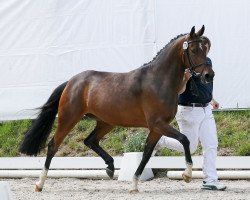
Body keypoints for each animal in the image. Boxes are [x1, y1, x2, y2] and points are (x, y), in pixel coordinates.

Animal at [20, 25, 215, 192]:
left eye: (205, 49)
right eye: (194, 49)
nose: (209, 75)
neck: (158, 80)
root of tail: (71, 82)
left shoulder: (156, 128)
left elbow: (146, 153)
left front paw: (134, 184)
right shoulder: (158, 124)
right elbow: (184, 139)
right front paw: (187, 174)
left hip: (106, 122)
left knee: (90, 141)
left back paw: (110, 167)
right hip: (68, 118)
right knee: (53, 145)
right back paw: (39, 183)